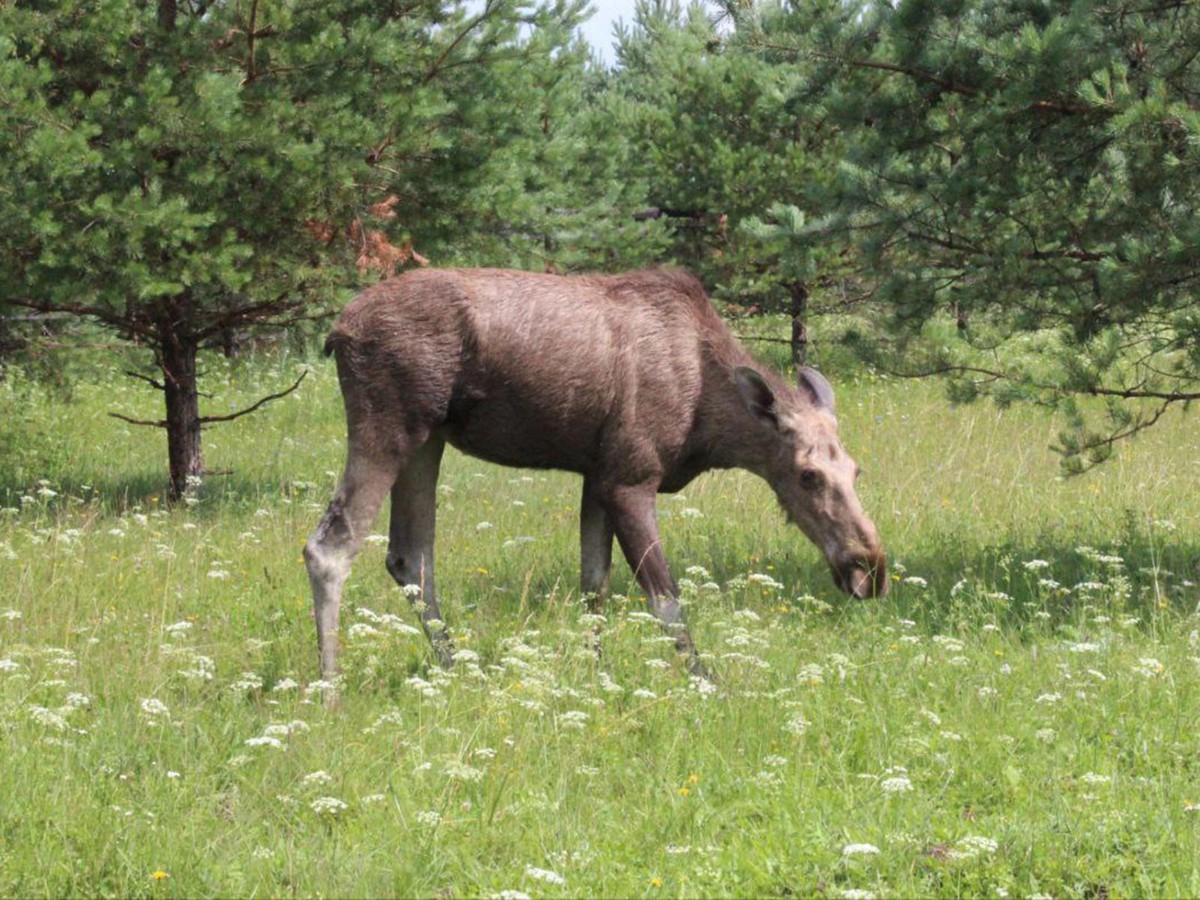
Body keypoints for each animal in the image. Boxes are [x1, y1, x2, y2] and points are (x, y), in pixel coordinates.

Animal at [302, 267, 883, 676]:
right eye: (807, 475)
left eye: (856, 472)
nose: (868, 569)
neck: (707, 423)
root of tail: (337, 332)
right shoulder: (630, 477)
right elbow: (664, 598)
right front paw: (704, 683)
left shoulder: (597, 475)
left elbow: (594, 587)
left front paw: (595, 676)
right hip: (389, 426)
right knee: (330, 547)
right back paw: (331, 689)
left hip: (428, 440)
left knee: (411, 557)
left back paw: (454, 670)